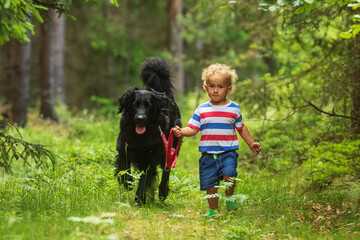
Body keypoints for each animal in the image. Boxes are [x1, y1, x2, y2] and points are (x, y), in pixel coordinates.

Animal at [115, 57, 181, 203]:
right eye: (135, 104)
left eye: (149, 105)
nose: (140, 119)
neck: (140, 136)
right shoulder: (123, 149)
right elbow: (124, 169)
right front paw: (128, 183)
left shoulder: (152, 159)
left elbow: (145, 180)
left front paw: (139, 199)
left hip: (172, 146)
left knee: (166, 171)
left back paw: (162, 192)